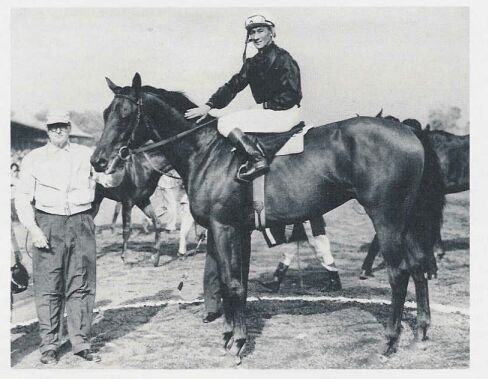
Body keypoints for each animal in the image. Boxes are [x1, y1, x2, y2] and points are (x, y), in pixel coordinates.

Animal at [90, 73, 446, 360]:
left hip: (387, 219)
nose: (97, 161)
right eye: (106, 113)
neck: (207, 152)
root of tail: (408, 130)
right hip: (408, 221)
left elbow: (232, 282)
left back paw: (390, 340)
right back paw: (420, 331)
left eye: (126, 115)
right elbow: (234, 283)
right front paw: (231, 334)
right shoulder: (234, 230)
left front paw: (238, 342)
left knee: (399, 273)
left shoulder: (223, 228)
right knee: (418, 267)